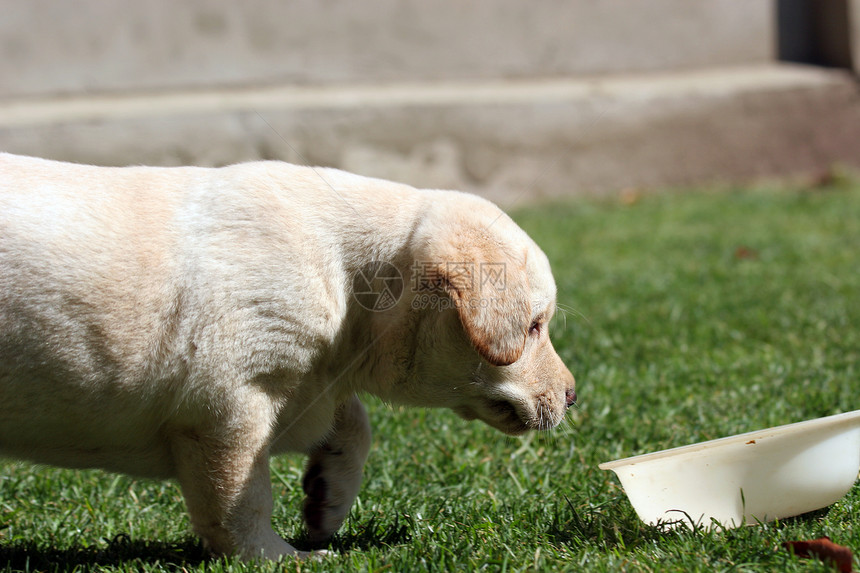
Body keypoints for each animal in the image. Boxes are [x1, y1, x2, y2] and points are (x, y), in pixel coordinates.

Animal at [1, 152, 576, 560]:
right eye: (533, 326)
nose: (572, 397)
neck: (350, 281)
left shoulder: (311, 382)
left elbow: (355, 424)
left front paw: (327, 499)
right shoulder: (230, 405)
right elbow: (240, 498)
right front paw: (278, 556)